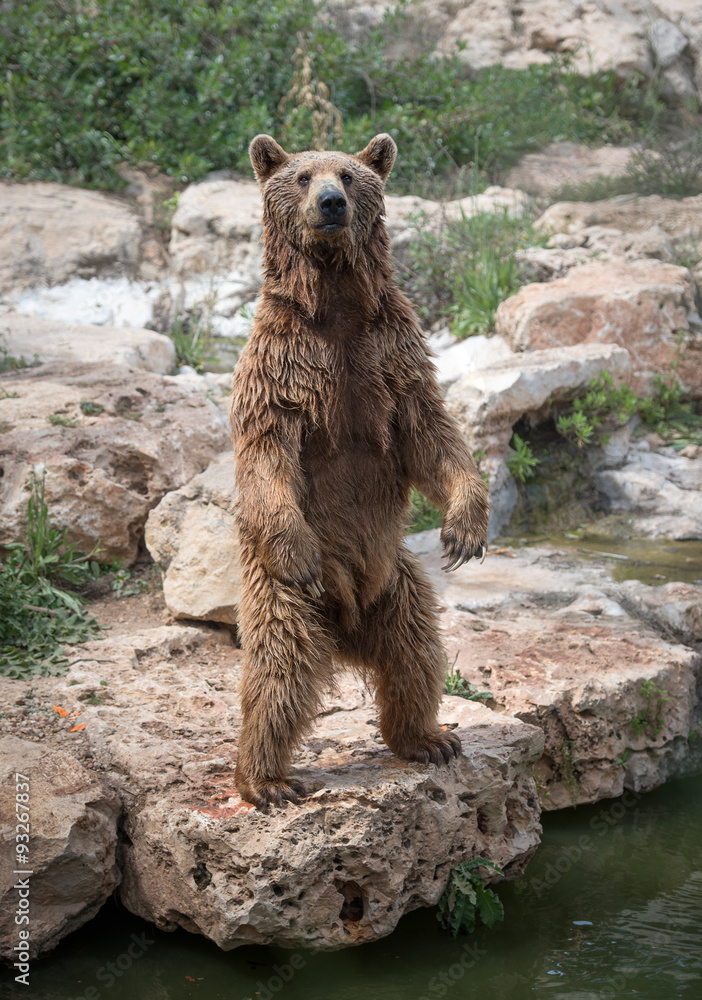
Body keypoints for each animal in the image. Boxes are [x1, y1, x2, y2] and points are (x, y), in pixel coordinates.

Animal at [230, 133, 489, 808]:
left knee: (417, 655)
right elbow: (267, 454)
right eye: (300, 176)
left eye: (348, 174)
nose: (330, 203)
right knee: (282, 667)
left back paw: (428, 738)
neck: (337, 302)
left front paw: (464, 529)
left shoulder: (392, 357)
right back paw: (265, 779)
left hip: (396, 581)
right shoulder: (281, 369)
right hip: (285, 593)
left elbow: (433, 438)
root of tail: (347, 630)